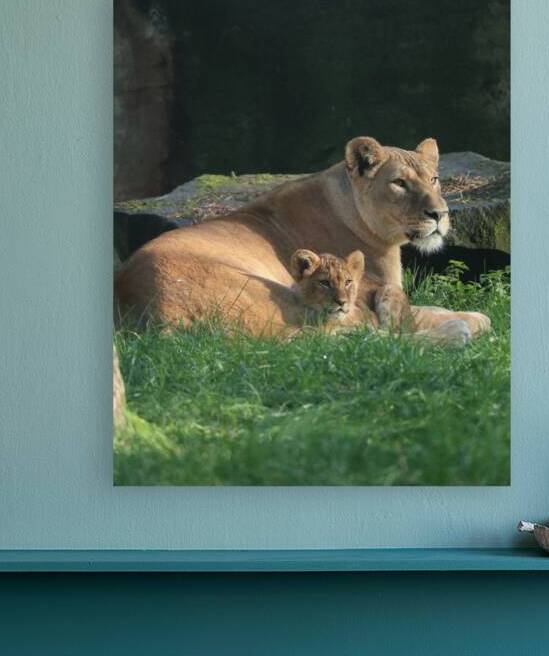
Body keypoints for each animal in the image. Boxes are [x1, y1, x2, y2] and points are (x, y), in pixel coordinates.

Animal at [115, 136, 491, 340]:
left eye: (434, 179)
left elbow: (435, 307)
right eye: (399, 183)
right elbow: (424, 315)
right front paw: (472, 320)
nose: (440, 214)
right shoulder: (361, 294)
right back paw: (456, 333)